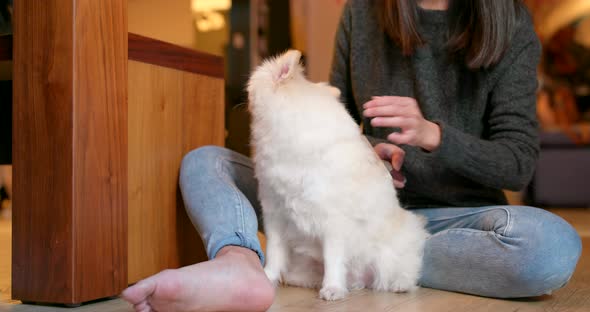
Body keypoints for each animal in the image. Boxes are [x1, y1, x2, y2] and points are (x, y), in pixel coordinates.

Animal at [247, 50, 428, 302]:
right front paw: (267, 277)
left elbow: (333, 258)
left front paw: (332, 288)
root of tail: (360, 279)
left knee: (405, 270)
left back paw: (398, 284)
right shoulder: (275, 213)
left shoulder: (333, 222)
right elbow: (274, 252)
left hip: (394, 249)